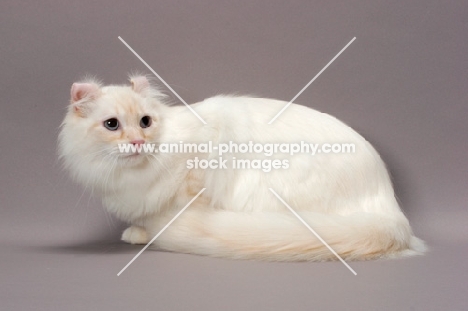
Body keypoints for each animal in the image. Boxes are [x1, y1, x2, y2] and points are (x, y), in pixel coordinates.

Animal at [56, 76, 426, 264]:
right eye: (112, 125)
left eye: (146, 122)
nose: (137, 141)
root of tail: (391, 212)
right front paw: (137, 231)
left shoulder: (203, 162)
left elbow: (185, 202)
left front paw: (146, 232)